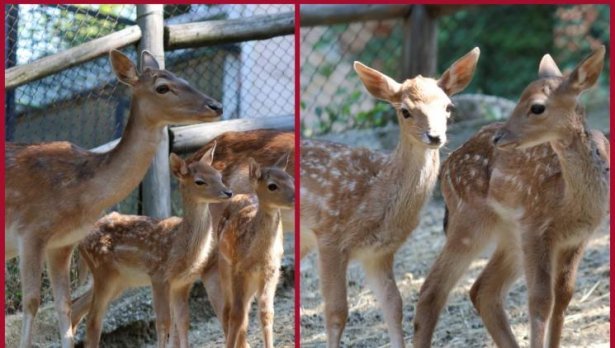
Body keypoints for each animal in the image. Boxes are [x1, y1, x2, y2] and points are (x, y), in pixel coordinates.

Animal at [68, 147, 231, 348]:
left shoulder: (183, 283)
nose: (228, 192)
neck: (180, 245)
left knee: (76, 309)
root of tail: (81, 241)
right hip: (103, 271)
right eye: (199, 181)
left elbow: (183, 321)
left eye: (218, 175)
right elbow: (163, 322)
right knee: (93, 320)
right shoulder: (159, 275)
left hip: (120, 281)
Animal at [300, 47, 484, 348]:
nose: (435, 136)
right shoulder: (330, 237)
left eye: (448, 107)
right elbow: (336, 313)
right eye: (405, 111)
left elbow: (393, 306)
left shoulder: (379, 252)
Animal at [414, 47, 612, 348]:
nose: (500, 137)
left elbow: (563, 297)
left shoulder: (578, 238)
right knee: (432, 290)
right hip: (469, 219)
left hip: (509, 235)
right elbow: (541, 300)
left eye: (537, 106)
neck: (572, 204)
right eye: (518, 97)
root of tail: (446, 166)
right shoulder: (536, 226)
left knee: (482, 289)